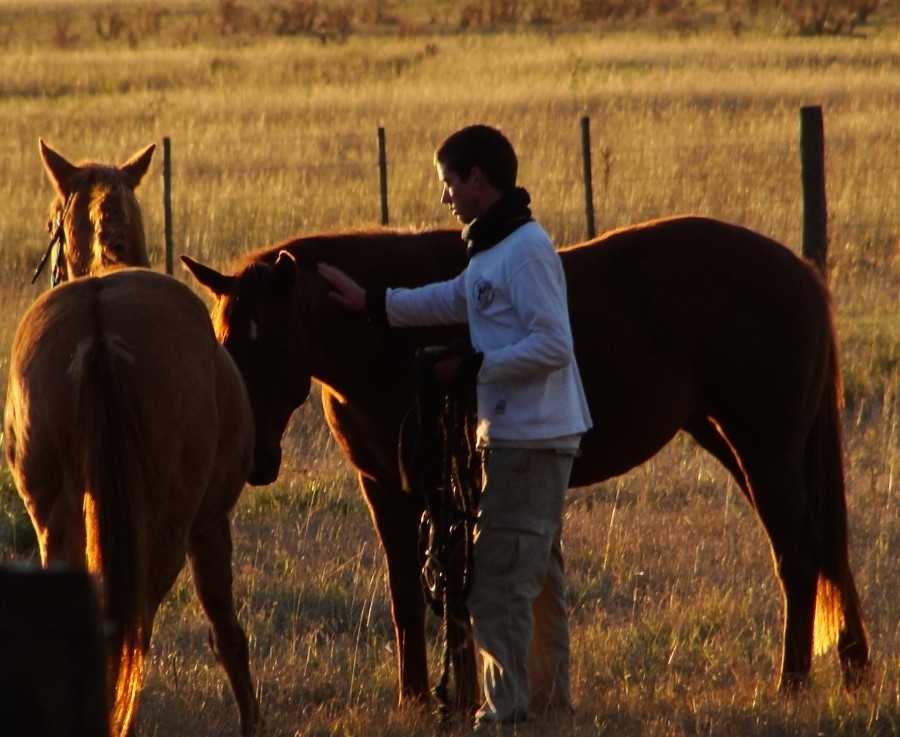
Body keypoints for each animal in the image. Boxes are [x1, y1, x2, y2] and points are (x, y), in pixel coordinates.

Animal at [181, 214, 864, 708]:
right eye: (222, 342)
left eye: (272, 344)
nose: (252, 457)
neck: (390, 345)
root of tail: (799, 271)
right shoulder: (385, 488)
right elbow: (406, 595)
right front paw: (415, 698)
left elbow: (458, 592)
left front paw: (460, 700)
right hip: (736, 443)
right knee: (824, 549)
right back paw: (851, 667)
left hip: (763, 447)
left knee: (800, 553)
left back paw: (792, 684)